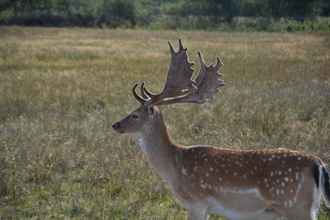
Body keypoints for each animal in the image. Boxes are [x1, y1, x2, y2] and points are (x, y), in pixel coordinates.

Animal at [112, 40, 328, 220]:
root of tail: (318, 164)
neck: (174, 167)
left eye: (135, 114)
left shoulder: (197, 202)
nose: (116, 125)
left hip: (296, 206)